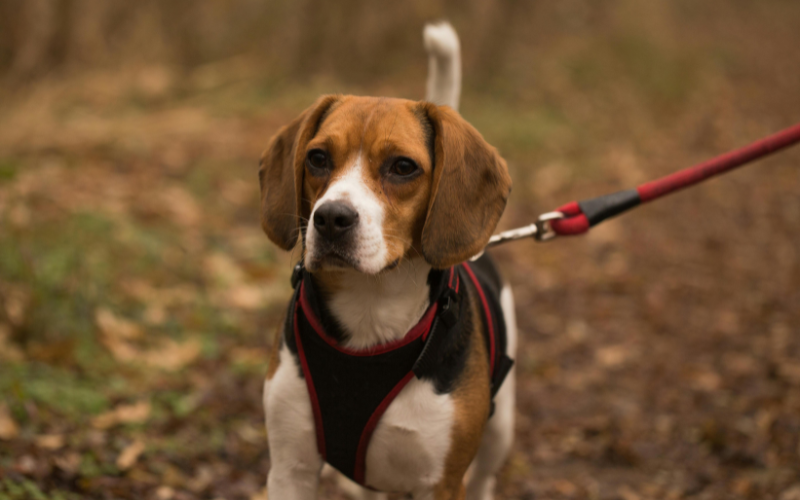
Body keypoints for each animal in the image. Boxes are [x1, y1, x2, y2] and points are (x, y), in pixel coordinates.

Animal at [260, 21, 516, 498]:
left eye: (403, 167)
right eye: (317, 158)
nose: (330, 218)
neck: (370, 309)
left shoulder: (440, 481)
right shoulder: (291, 467)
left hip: (500, 429)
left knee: (484, 477)